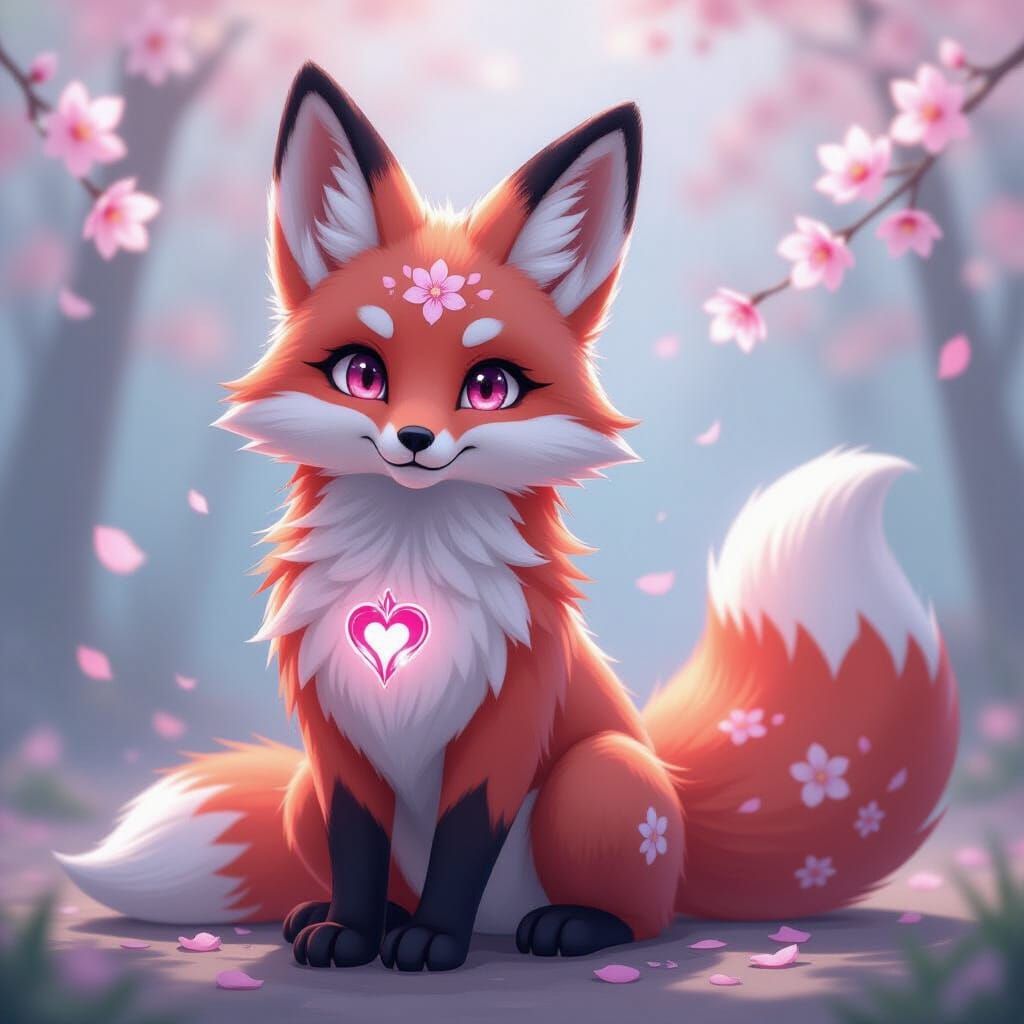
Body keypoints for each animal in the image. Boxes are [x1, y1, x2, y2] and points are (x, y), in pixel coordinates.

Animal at [57, 64, 959, 973]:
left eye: (489, 387)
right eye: (361, 374)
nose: (415, 440)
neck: (406, 573)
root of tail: (681, 809)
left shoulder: (507, 723)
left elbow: (463, 842)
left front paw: (433, 944)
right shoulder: (337, 739)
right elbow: (357, 847)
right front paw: (351, 933)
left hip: (598, 782)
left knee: (646, 917)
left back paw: (566, 928)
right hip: (302, 793)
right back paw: (346, 915)